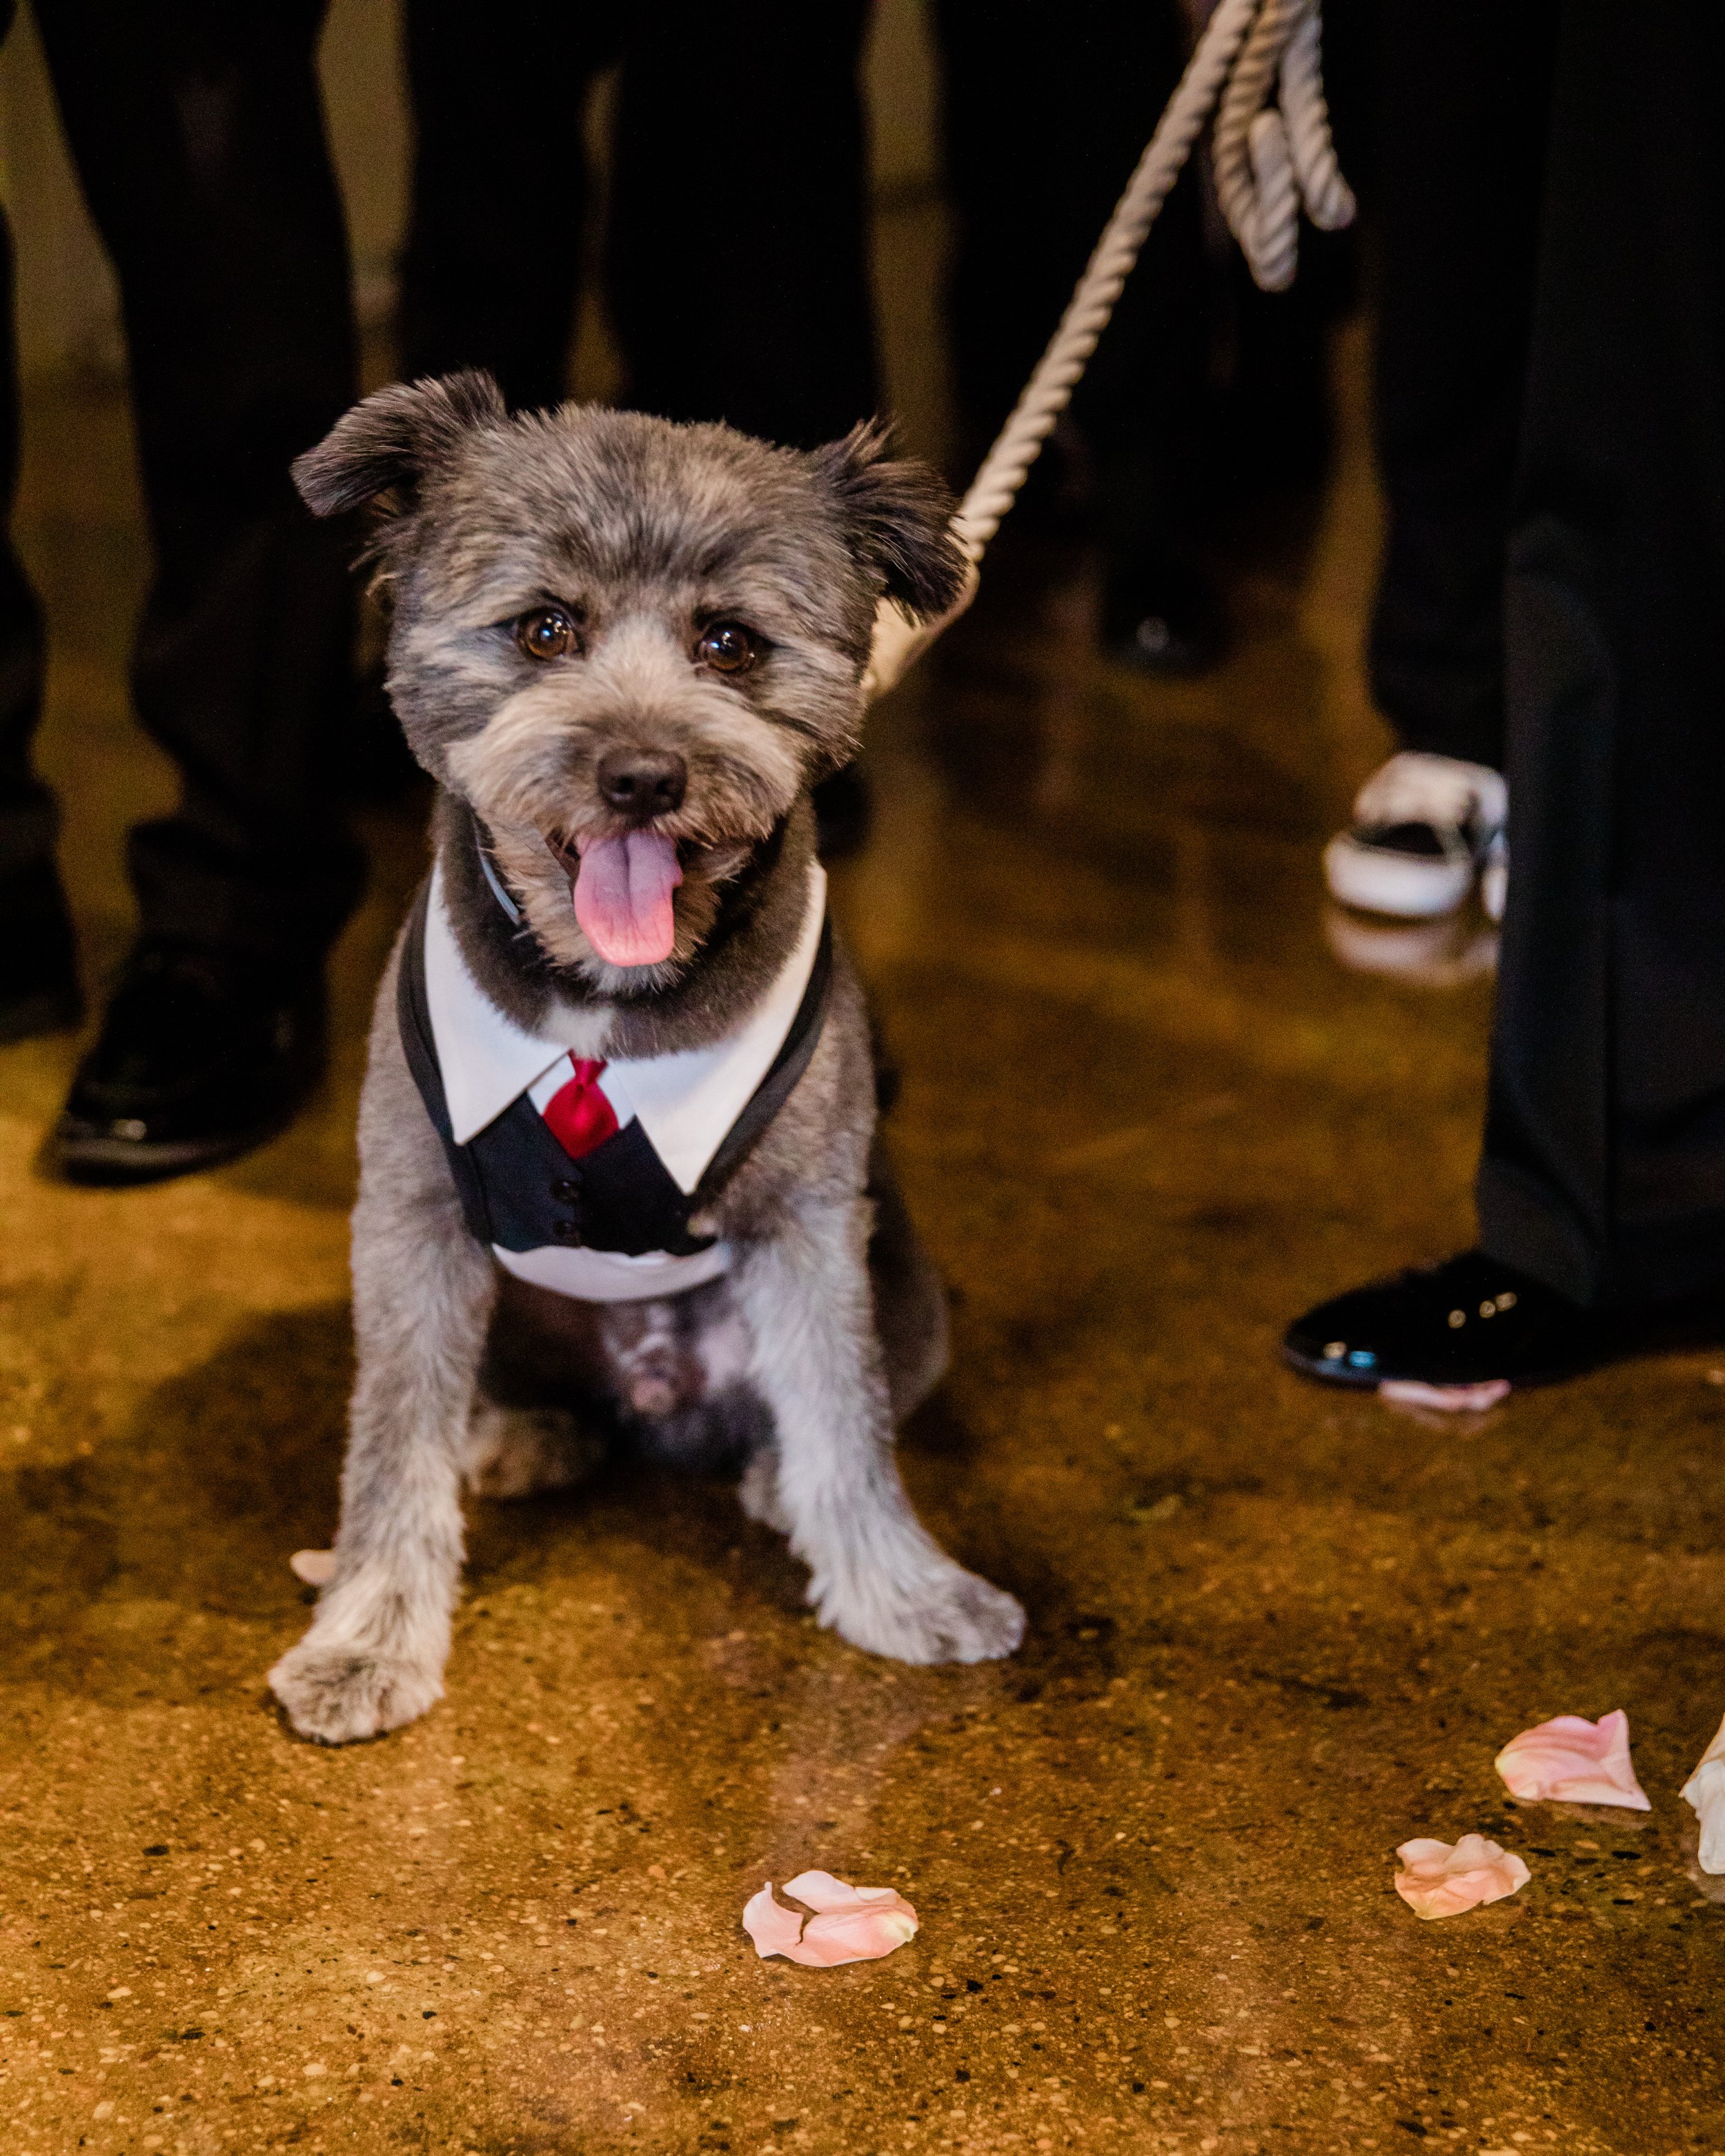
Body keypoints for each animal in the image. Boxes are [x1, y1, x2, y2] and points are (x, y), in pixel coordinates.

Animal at [266, 370, 1026, 1742]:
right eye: (545, 628)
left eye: (730, 644)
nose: (641, 775)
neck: (602, 1000)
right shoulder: (410, 1223)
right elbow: (391, 1449)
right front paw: (365, 1640)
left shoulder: (812, 1227)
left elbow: (848, 1423)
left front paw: (901, 1590)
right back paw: (521, 1430)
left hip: (910, 1294)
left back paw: (768, 1475)